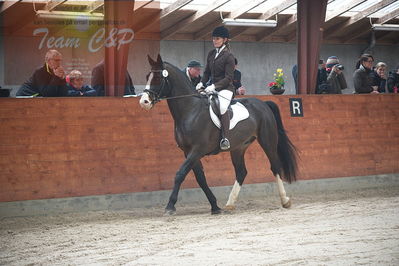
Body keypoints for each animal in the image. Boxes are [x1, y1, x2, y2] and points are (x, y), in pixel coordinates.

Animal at [139, 55, 298, 215]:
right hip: (238, 147)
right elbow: (201, 179)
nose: (144, 101)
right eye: (147, 76)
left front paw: (170, 206)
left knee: (275, 167)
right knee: (241, 172)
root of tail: (263, 104)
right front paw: (215, 206)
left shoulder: (197, 150)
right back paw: (230, 204)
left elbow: (180, 174)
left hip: (267, 141)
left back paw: (285, 200)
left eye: (158, 78)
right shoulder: (188, 152)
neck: (190, 110)